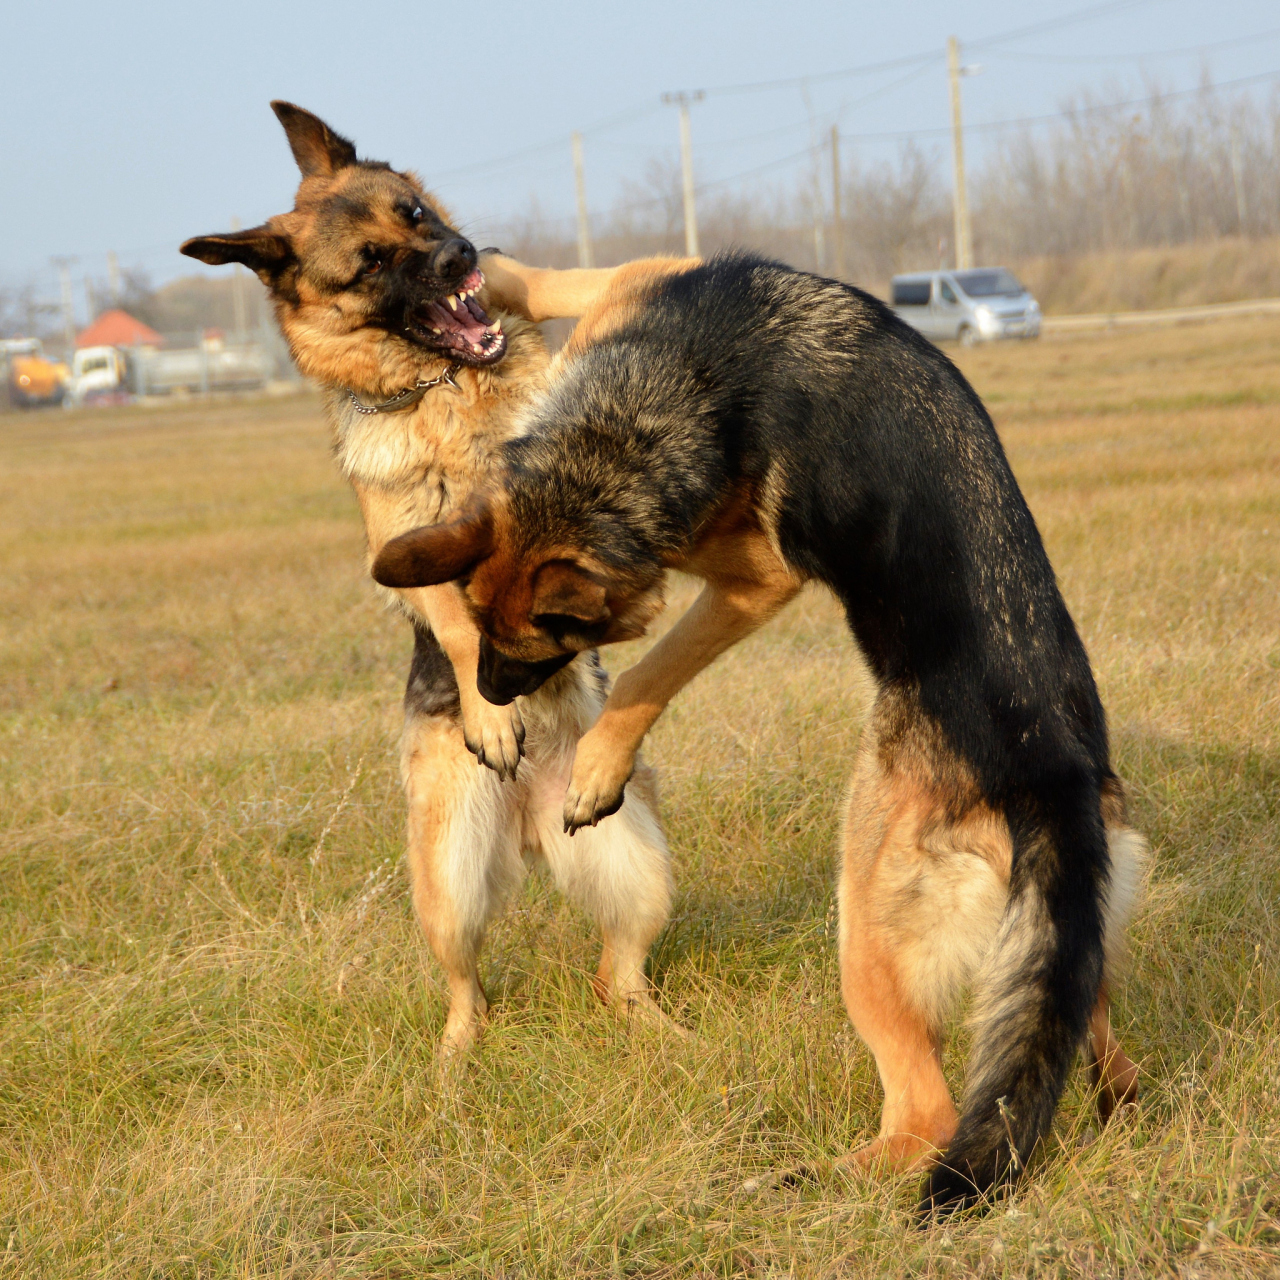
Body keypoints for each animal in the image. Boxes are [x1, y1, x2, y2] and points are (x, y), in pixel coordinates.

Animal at [185, 104, 680, 1054]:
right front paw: (490, 716)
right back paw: (459, 1054)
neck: (450, 385)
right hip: (448, 885)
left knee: (619, 971)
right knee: (466, 985)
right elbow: (453, 621)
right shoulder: (404, 548)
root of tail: (529, 821)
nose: (462, 256)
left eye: (412, 212)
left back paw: (660, 1030)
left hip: (636, 859)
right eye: (370, 263)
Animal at [371, 249, 1152, 1208]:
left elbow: (650, 668)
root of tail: (1052, 776)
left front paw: (597, 766)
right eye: (480, 630)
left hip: (868, 923)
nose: (485, 702)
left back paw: (800, 1177)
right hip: (1061, 948)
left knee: (927, 1116)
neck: (628, 432)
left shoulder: (753, 575)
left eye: (534, 652)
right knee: (1099, 1061)